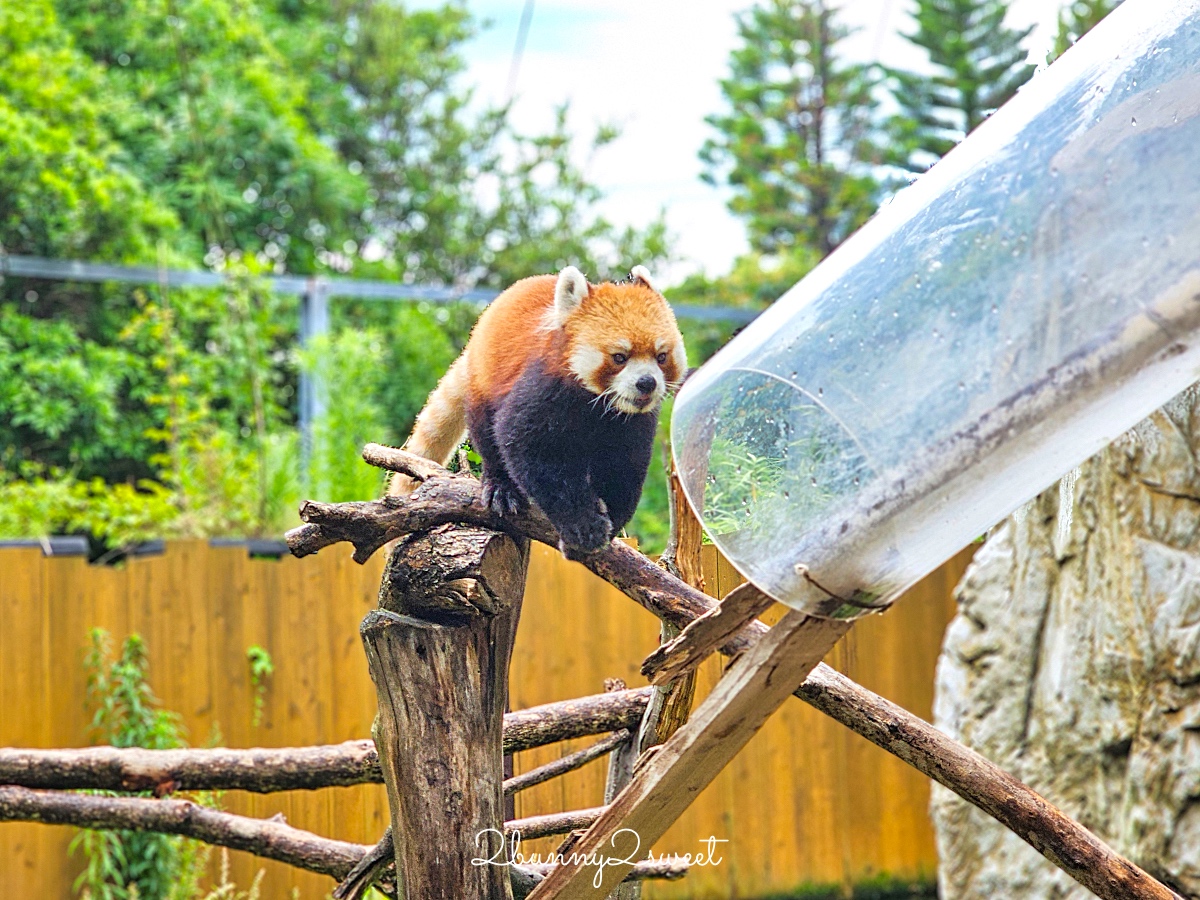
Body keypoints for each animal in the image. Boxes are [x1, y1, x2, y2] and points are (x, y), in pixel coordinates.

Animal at [393, 264, 686, 556]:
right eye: (619, 357)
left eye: (661, 356)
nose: (647, 383)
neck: (597, 407)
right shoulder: (541, 391)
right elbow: (530, 451)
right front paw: (583, 527)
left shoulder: (632, 424)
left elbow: (623, 467)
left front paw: (611, 521)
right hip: (483, 381)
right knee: (488, 437)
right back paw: (501, 488)